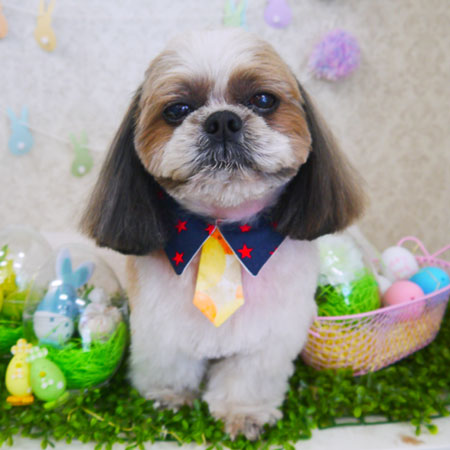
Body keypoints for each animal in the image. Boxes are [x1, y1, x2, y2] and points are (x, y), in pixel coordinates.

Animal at [81, 28, 364, 440]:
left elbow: (247, 378)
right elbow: (169, 364)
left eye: (263, 100)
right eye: (177, 110)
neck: (223, 230)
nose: (223, 120)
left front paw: (243, 414)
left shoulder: (270, 335)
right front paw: (169, 399)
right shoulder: (159, 324)